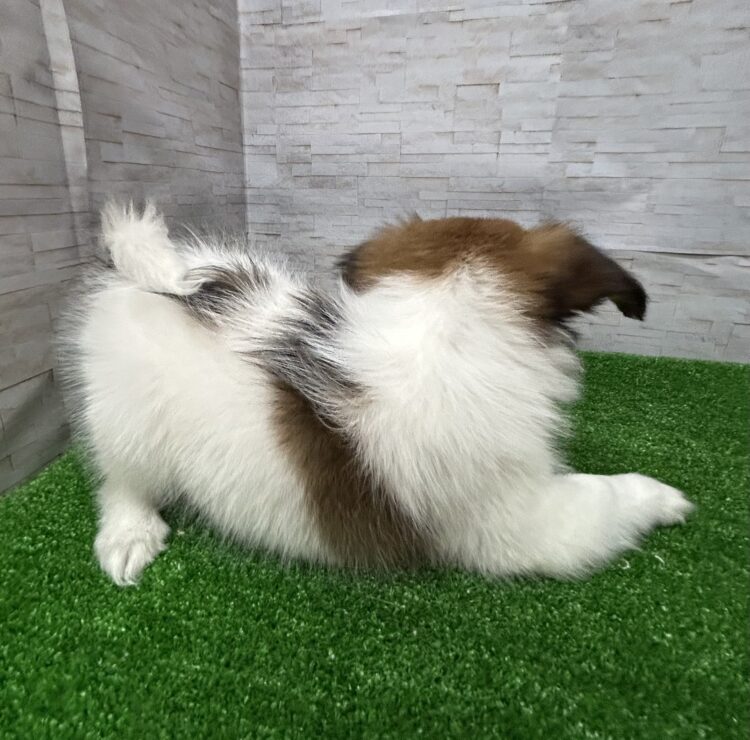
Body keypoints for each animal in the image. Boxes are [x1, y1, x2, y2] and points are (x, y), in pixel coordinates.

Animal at [58, 203, 693, 586]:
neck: (446, 324)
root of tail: (130, 271)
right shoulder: (522, 520)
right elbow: (609, 495)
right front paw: (664, 497)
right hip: (127, 420)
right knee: (122, 482)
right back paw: (130, 535)